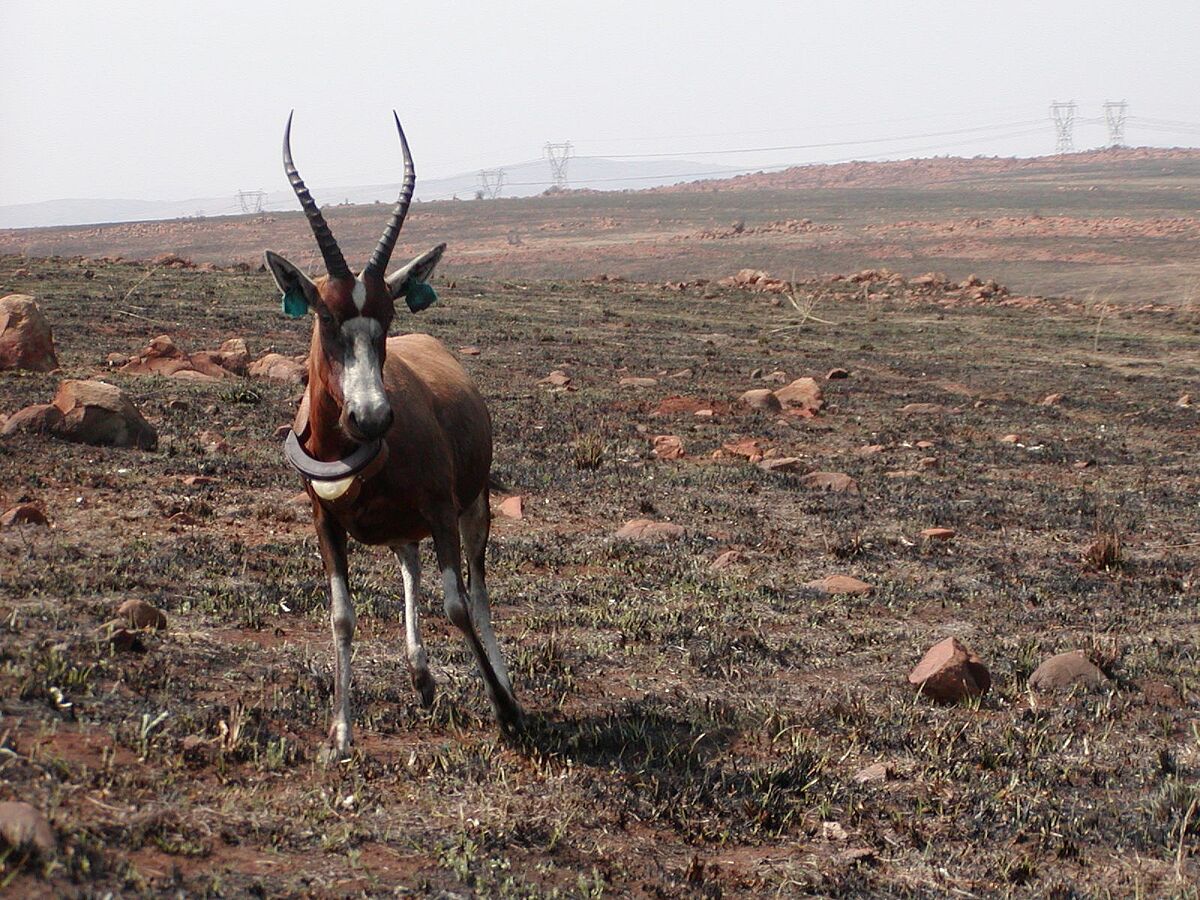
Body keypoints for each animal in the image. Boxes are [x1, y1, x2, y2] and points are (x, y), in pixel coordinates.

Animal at [262, 111, 520, 753]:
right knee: (409, 563)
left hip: (473, 508)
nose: (372, 416)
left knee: (477, 589)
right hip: (405, 527)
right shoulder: (324, 522)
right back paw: (421, 678)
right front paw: (339, 736)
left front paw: (507, 712)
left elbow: (459, 606)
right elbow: (341, 615)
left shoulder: (441, 511)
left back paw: (501, 694)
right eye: (325, 316)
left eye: (388, 315)